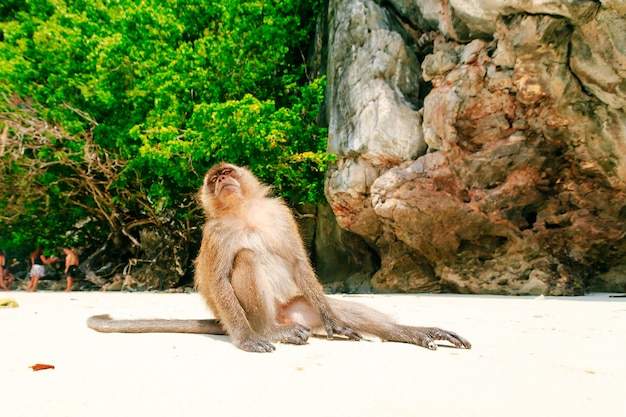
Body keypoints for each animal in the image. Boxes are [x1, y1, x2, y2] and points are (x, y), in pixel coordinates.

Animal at [86, 162, 468, 352]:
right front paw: (245, 340)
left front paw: (336, 322)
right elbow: (218, 281)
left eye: (227, 173)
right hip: (257, 314)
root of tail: (282, 315)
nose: (222, 179)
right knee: (246, 259)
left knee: (335, 307)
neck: (242, 212)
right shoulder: (215, 234)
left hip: (299, 306)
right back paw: (269, 331)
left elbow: (299, 263)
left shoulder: (280, 213)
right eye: (214, 179)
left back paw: (409, 333)